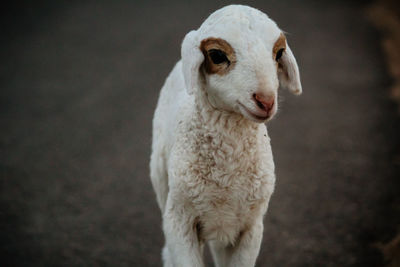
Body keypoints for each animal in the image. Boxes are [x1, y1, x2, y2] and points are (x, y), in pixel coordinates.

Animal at [149, 4, 300, 267]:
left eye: (279, 52)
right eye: (217, 55)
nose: (266, 101)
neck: (226, 177)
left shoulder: (251, 226)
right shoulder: (180, 221)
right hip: (161, 182)